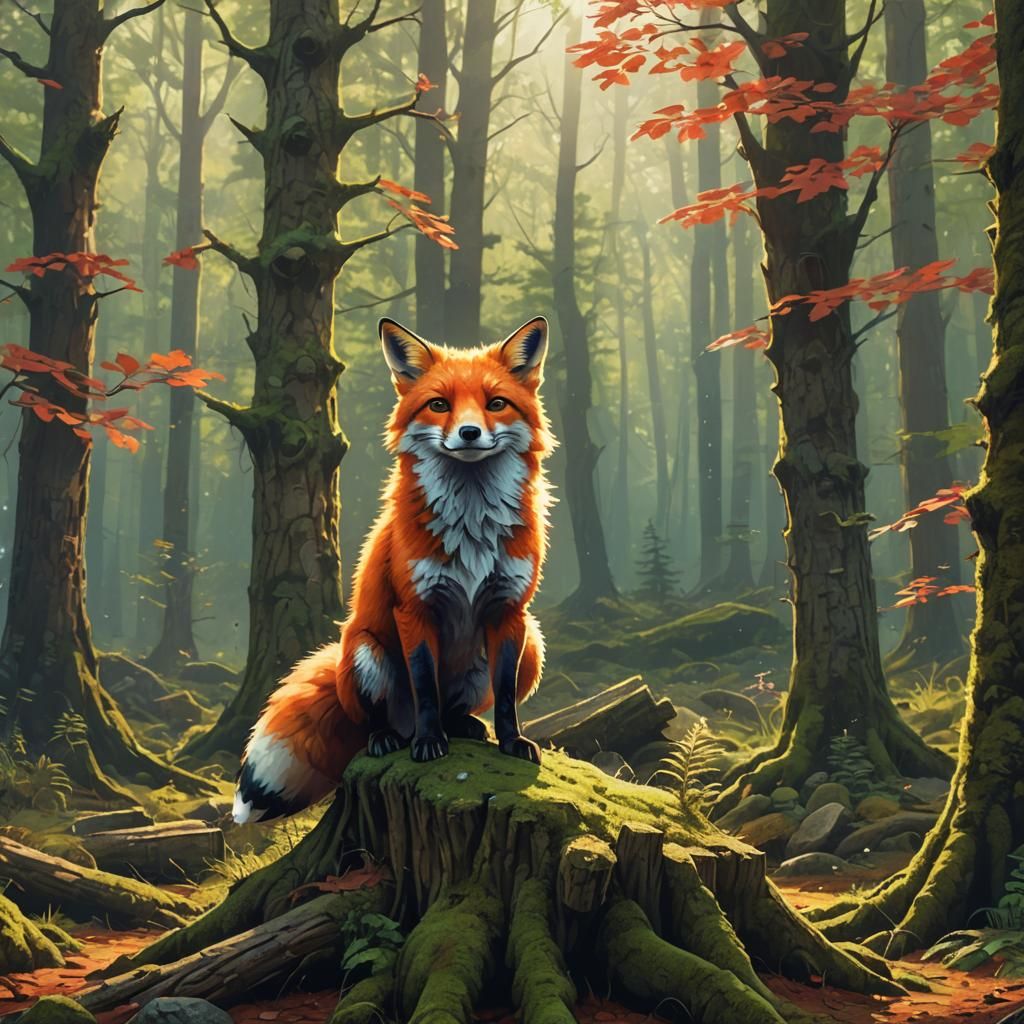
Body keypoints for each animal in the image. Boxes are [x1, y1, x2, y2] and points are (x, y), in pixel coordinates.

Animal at [232, 316, 554, 824]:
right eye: (439, 405)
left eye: (496, 404)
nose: (468, 433)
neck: (473, 525)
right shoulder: (413, 608)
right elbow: (424, 687)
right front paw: (427, 745)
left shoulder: (510, 611)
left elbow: (503, 697)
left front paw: (512, 742)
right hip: (367, 653)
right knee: (379, 721)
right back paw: (390, 738)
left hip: (534, 645)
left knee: (458, 709)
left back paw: (465, 726)